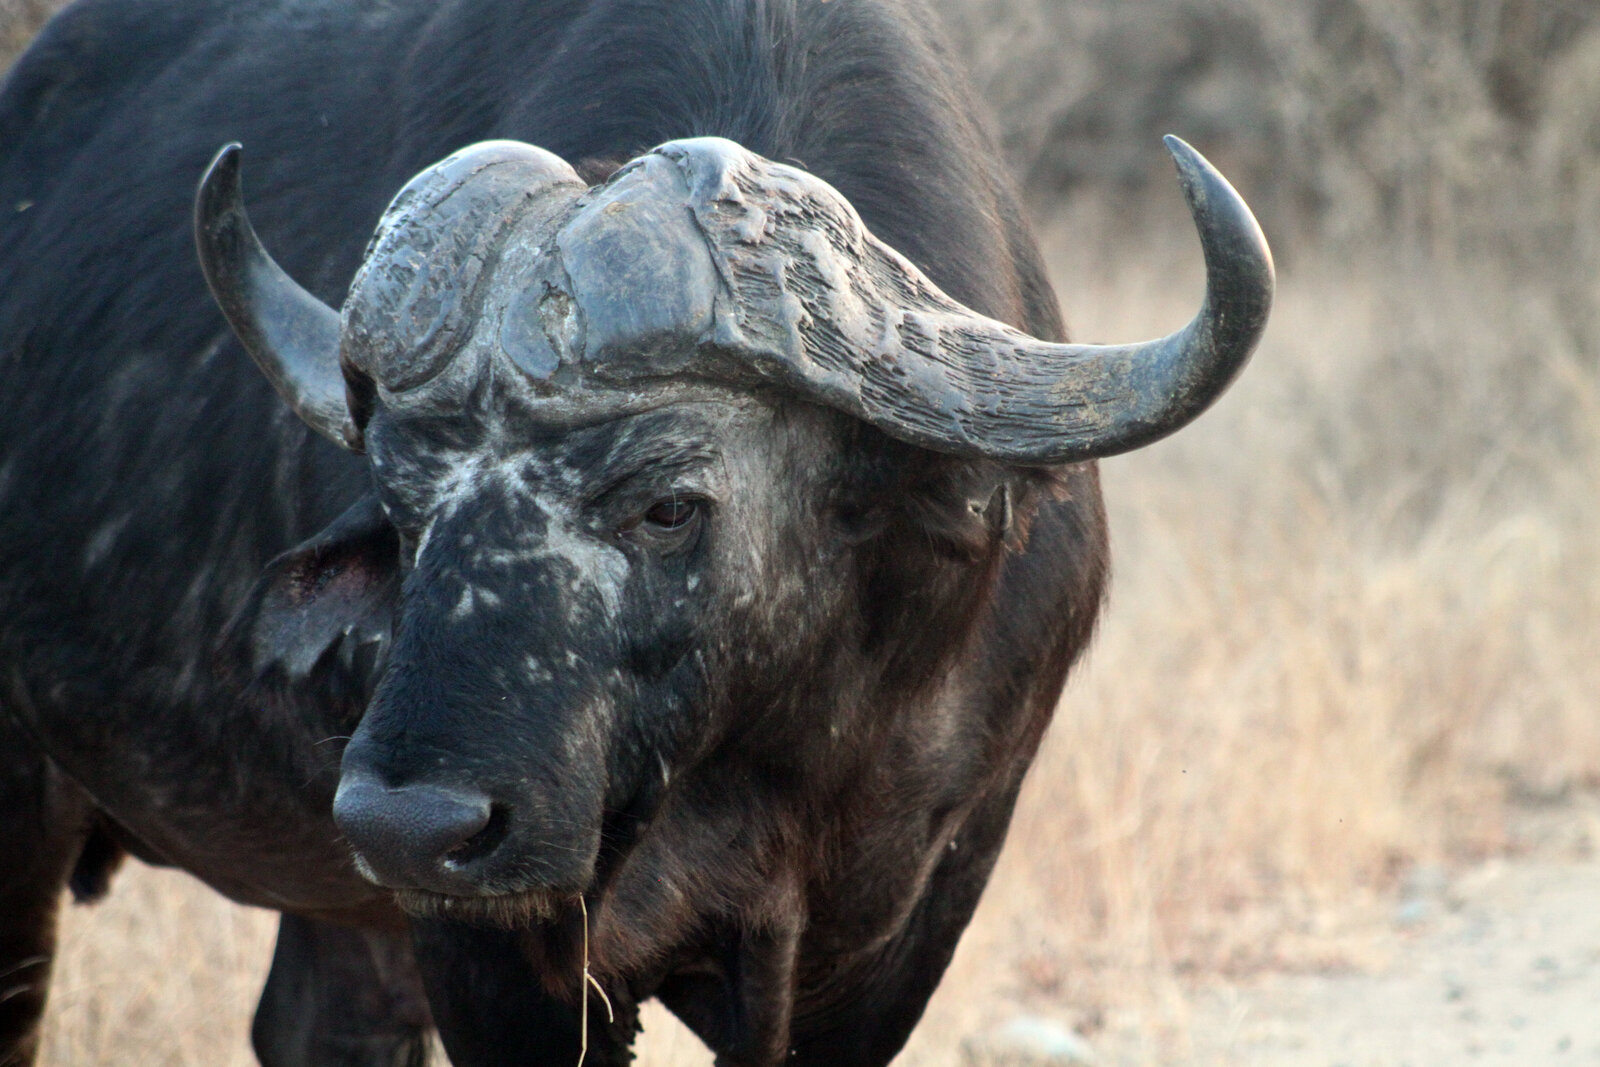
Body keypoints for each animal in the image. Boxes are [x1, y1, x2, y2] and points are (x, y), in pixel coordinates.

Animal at [0, 0, 1272, 1064]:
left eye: (667, 503)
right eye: (405, 506)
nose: (408, 822)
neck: (756, 758)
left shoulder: (908, 916)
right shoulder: (490, 947)